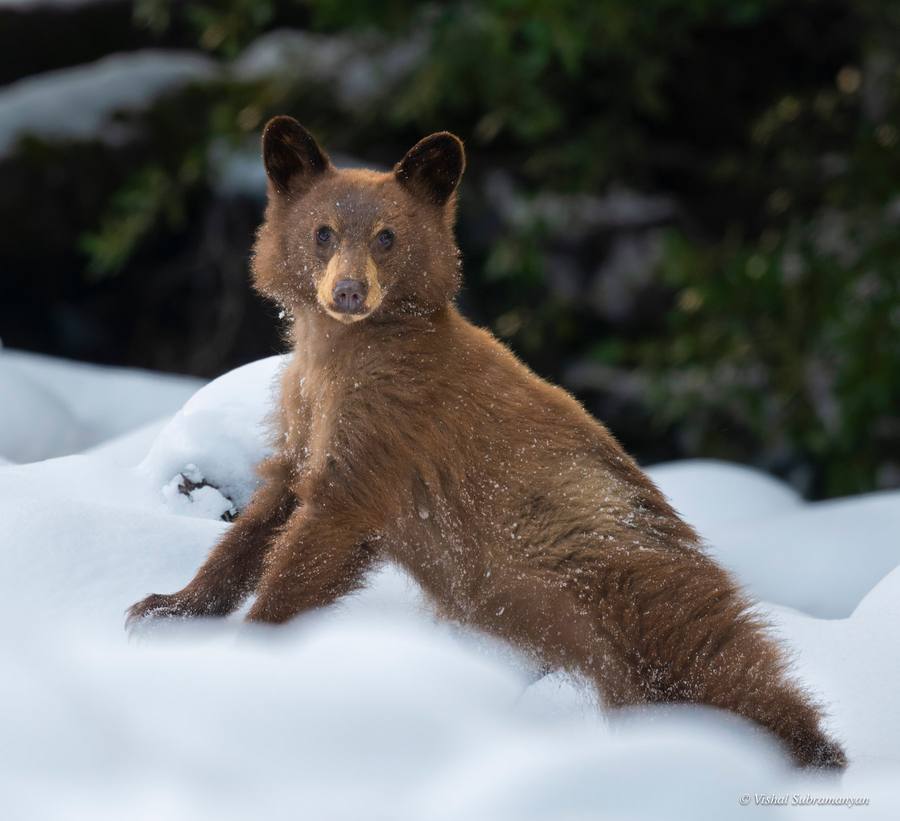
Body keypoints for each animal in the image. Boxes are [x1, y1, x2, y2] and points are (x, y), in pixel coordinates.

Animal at [127, 116, 846, 770]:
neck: (344, 353)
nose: (349, 292)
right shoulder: (305, 419)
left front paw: (244, 658)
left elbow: (321, 532)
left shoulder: (384, 432)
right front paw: (164, 608)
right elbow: (262, 517)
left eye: (387, 236)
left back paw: (806, 754)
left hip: (649, 607)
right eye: (322, 231)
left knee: (733, 678)